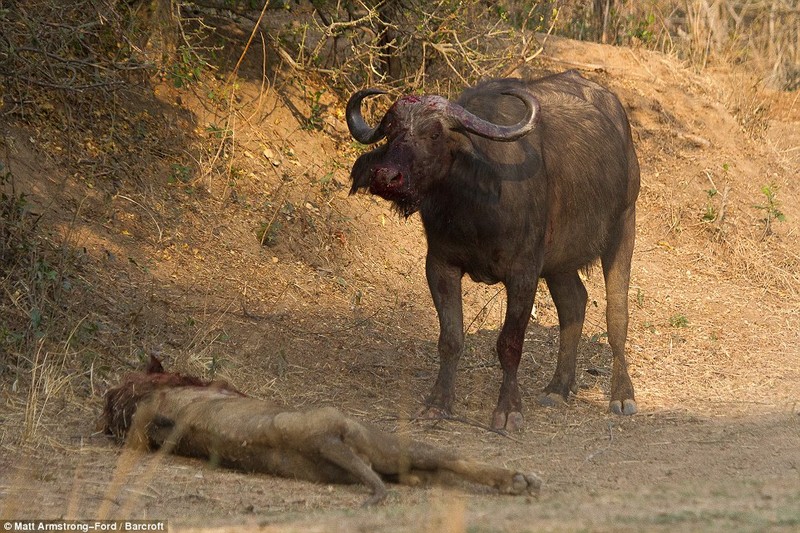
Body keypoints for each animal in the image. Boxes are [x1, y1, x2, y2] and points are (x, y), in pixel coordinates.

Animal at [346, 69, 640, 432]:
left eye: (434, 134)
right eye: (390, 132)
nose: (387, 177)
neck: (474, 207)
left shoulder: (523, 273)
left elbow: (509, 343)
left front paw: (508, 409)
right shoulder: (440, 264)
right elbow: (451, 338)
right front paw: (437, 403)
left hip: (624, 227)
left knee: (617, 314)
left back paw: (622, 395)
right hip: (559, 261)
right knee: (574, 304)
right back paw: (558, 387)